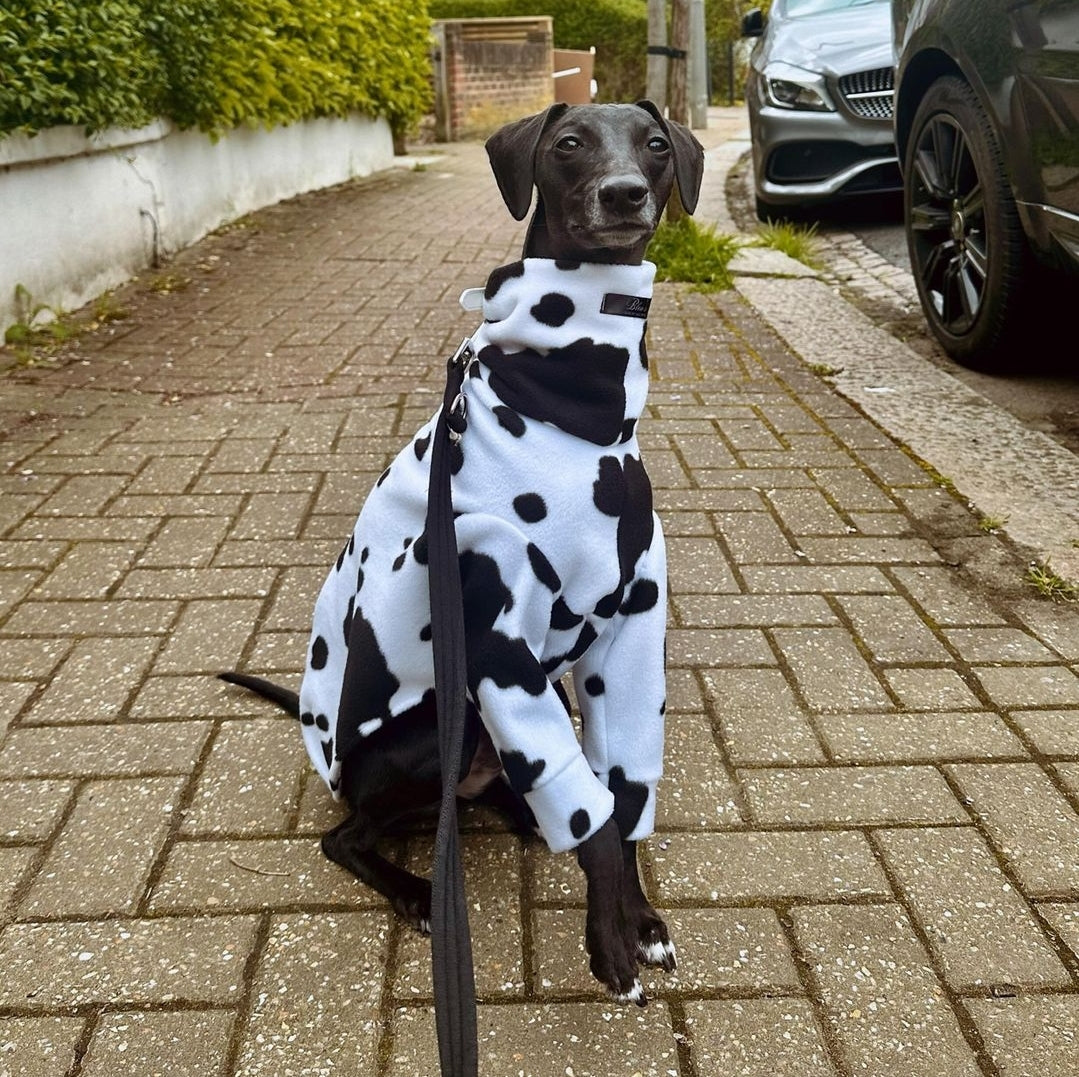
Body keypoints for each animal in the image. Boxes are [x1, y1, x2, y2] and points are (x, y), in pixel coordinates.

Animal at [221, 101, 707, 1001]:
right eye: (568, 144)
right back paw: (418, 890)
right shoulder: (498, 643)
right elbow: (592, 821)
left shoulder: (627, 632)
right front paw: (608, 939)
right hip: (441, 726)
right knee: (345, 836)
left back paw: (518, 815)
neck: (575, 414)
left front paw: (639, 916)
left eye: (656, 146)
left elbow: (618, 795)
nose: (624, 194)